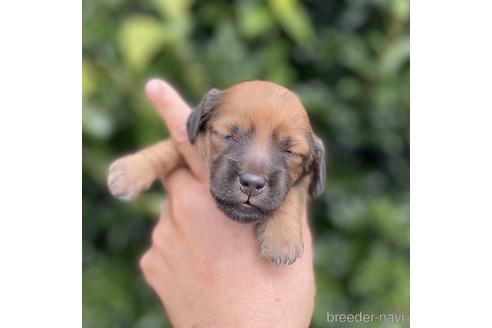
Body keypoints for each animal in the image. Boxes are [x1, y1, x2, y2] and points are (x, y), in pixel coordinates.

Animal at [107, 81, 324, 264]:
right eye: (228, 136)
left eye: (290, 152)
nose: (252, 184)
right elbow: (169, 148)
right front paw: (131, 170)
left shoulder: (304, 180)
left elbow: (293, 195)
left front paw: (281, 236)